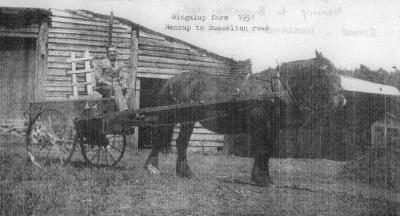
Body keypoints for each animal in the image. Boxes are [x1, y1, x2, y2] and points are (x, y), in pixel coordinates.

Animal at [145, 50, 346, 186]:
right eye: (324, 73)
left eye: (338, 74)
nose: (341, 101)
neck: (275, 91)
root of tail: (172, 80)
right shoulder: (262, 126)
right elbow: (262, 150)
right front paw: (260, 178)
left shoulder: (273, 128)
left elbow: (268, 151)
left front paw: (265, 178)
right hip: (184, 118)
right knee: (172, 141)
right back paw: (158, 168)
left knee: (177, 142)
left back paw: (179, 171)